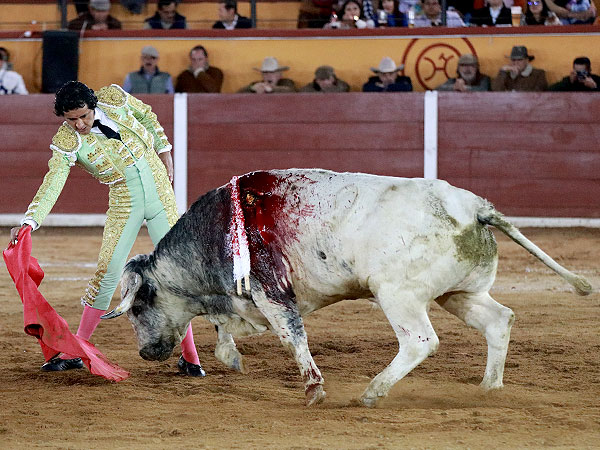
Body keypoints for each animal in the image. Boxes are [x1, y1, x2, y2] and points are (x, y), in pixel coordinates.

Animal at [102, 170, 592, 408]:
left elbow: (292, 339)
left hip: (398, 295)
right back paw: (489, 387)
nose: (145, 353)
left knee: (420, 341)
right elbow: (226, 334)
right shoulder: (245, 301)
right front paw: (234, 358)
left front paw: (314, 390)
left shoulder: (270, 293)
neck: (217, 233)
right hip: (459, 292)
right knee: (498, 320)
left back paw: (374, 391)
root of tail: (476, 208)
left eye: (136, 308)